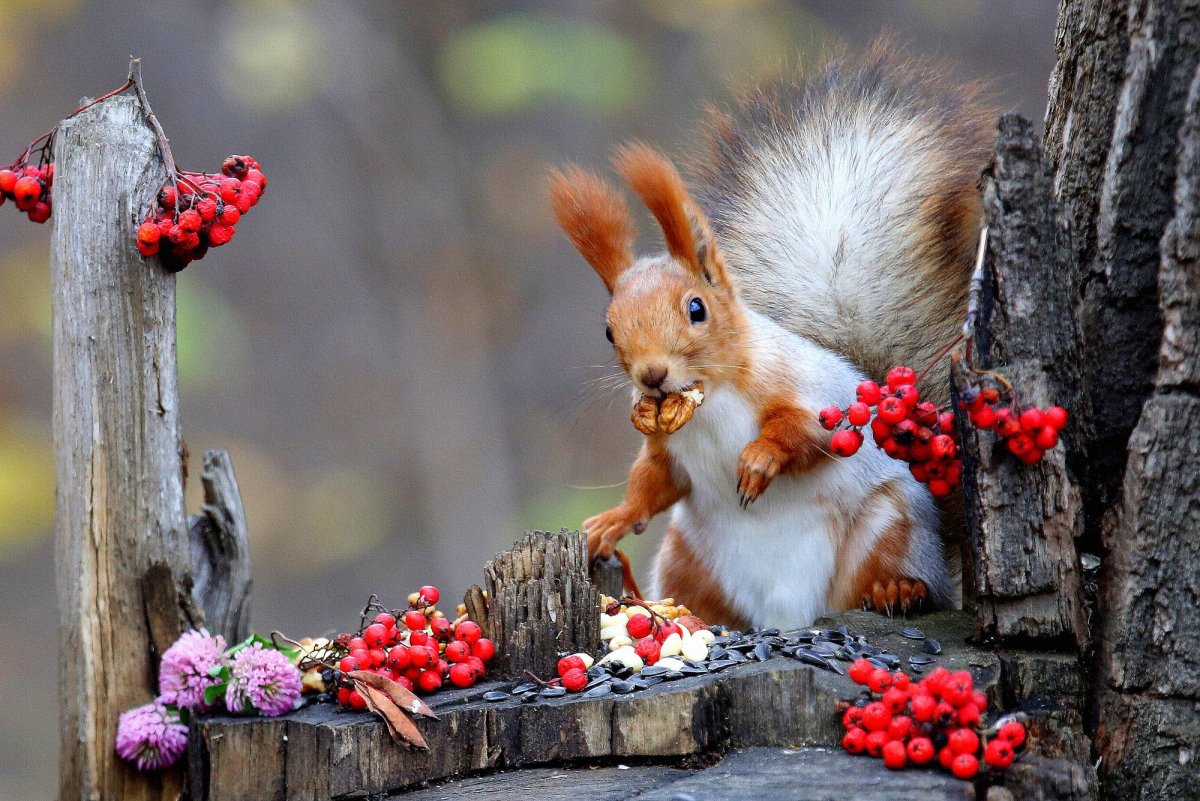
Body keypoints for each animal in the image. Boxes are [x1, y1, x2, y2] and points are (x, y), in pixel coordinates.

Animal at [548, 42, 995, 630]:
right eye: (608, 330)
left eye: (696, 309)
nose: (651, 376)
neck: (709, 397)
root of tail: (786, 615)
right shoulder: (668, 448)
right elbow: (654, 482)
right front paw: (613, 519)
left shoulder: (812, 393)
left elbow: (804, 432)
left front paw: (759, 459)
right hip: (687, 563)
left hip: (888, 528)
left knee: (894, 577)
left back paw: (899, 589)